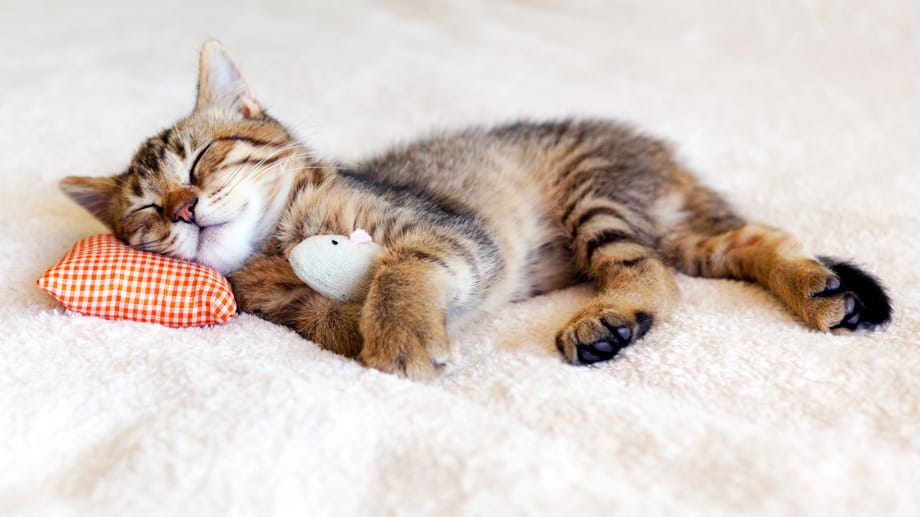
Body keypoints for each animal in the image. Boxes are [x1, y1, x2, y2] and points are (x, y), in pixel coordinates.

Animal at [59, 41, 892, 378]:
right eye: (145, 212)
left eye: (202, 158)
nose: (186, 208)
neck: (279, 242)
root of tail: (659, 153)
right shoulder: (284, 306)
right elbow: (325, 318)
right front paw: (357, 320)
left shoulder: (452, 232)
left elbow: (401, 266)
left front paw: (397, 328)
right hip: (685, 230)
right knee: (757, 238)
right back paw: (819, 289)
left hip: (597, 200)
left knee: (654, 275)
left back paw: (611, 317)